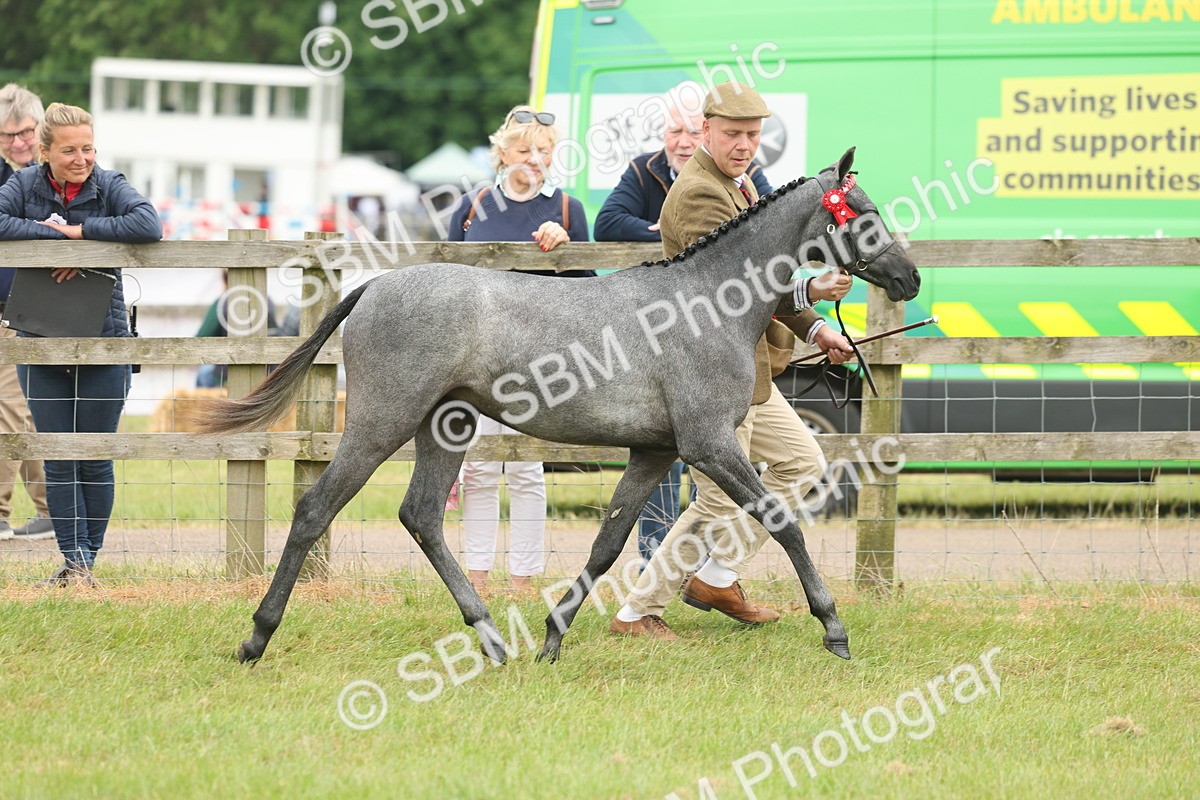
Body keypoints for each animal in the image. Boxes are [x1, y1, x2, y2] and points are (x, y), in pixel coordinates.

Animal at [203, 147, 920, 665]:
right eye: (862, 212)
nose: (909, 277)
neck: (708, 304)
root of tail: (373, 286)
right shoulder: (708, 443)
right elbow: (783, 522)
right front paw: (834, 629)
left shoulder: (655, 450)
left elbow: (607, 545)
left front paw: (552, 636)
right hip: (383, 422)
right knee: (315, 509)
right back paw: (256, 638)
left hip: (447, 426)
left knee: (422, 516)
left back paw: (492, 639)